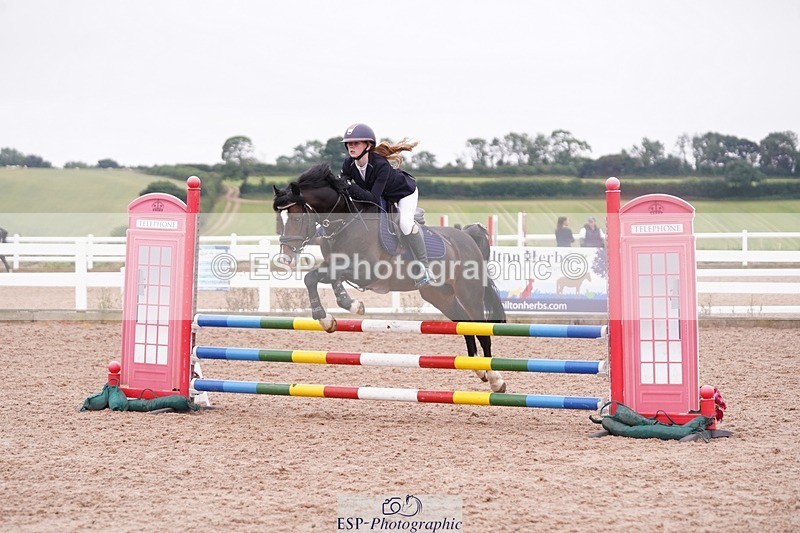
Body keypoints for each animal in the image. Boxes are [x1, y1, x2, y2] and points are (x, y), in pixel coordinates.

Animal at [272, 163, 508, 392]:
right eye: (278, 221)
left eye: (297, 218)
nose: (286, 259)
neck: (344, 223)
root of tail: (467, 237)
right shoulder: (335, 264)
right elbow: (316, 279)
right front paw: (339, 311)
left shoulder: (365, 271)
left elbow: (317, 277)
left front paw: (334, 313)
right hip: (440, 296)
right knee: (465, 325)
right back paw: (479, 369)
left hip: (469, 293)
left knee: (481, 329)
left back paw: (495, 379)